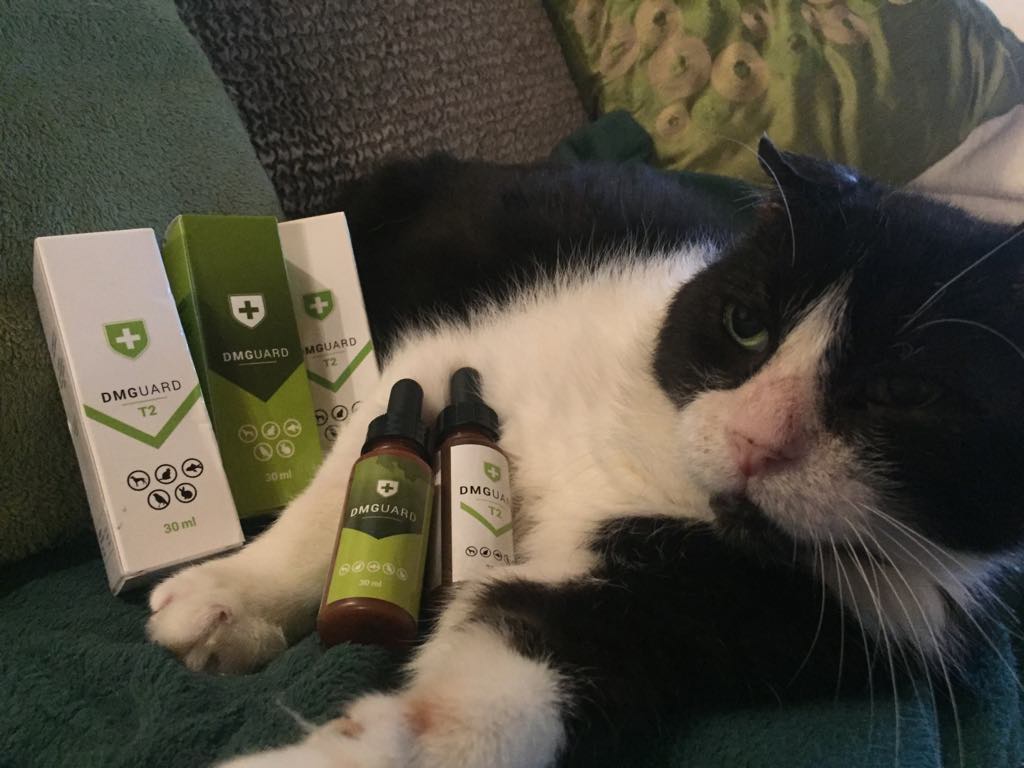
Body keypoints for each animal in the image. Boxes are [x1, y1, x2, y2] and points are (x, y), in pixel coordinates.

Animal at [145, 138, 1024, 767]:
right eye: (747, 325)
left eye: (905, 393)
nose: (755, 440)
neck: (651, 460)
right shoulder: (449, 359)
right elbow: (338, 494)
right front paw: (231, 598)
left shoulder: (700, 604)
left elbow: (500, 688)